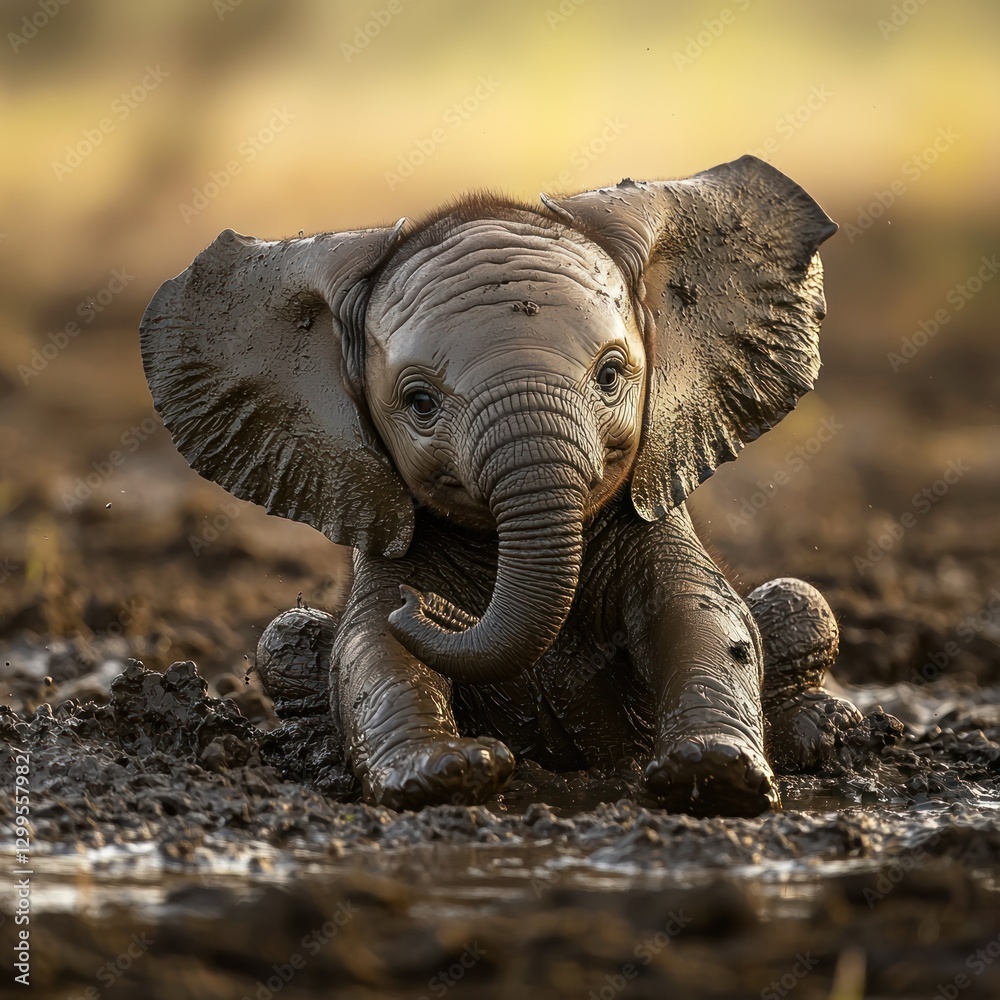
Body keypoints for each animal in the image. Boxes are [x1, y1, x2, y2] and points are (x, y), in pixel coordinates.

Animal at [140, 154, 865, 818]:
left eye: (611, 375)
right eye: (420, 403)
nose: (428, 606)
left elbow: (701, 615)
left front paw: (711, 775)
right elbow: (371, 646)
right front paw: (450, 775)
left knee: (800, 606)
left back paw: (822, 733)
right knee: (287, 638)